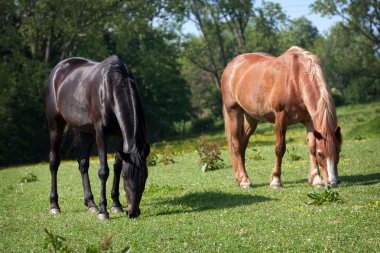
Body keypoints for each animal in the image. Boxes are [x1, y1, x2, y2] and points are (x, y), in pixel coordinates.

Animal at [45, 55, 149, 219]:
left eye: (145, 176)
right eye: (126, 177)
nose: (133, 212)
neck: (111, 87)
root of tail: (58, 69)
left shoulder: (120, 134)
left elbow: (117, 166)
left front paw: (116, 205)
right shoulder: (100, 133)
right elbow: (103, 170)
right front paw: (103, 211)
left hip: (85, 132)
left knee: (83, 163)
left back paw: (90, 203)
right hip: (56, 126)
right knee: (54, 162)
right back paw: (54, 205)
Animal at [220, 46, 342, 188]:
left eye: (338, 151)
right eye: (321, 154)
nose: (333, 182)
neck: (295, 79)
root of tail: (231, 65)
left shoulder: (310, 120)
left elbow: (311, 146)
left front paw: (316, 179)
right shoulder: (280, 117)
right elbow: (280, 148)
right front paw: (276, 180)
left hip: (251, 118)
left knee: (242, 143)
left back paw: (240, 178)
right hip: (234, 113)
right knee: (236, 144)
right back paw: (245, 180)